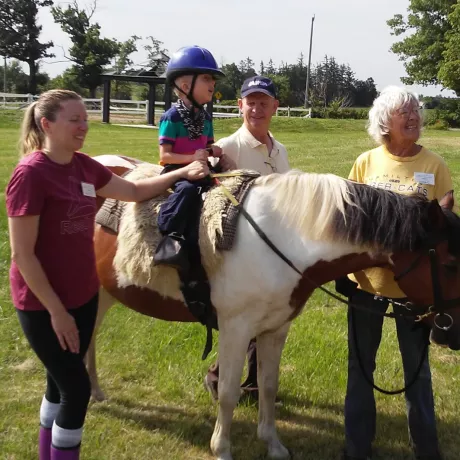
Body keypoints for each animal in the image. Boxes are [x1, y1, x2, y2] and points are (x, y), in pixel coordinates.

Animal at [88, 155, 460, 460]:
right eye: (450, 264)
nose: (453, 331)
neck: (282, 239)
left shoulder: (275, 328)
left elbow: (268, 384)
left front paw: (273, 444)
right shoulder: (236, 329)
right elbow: (227, 392)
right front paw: (222, 449)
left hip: (102, 293)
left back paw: (95, 392)